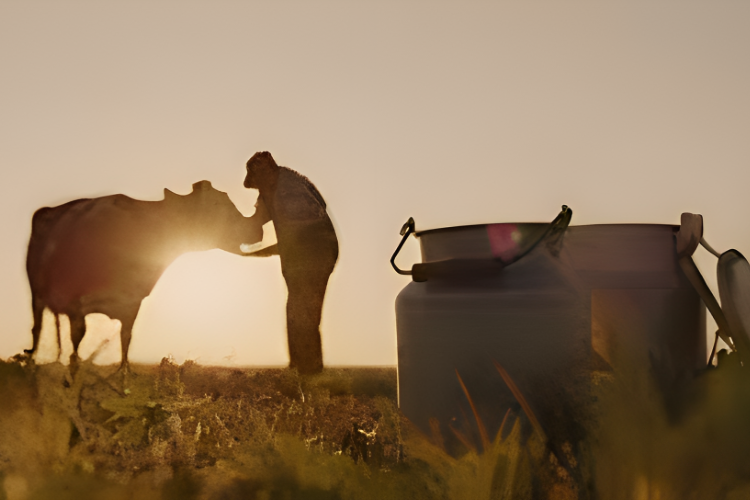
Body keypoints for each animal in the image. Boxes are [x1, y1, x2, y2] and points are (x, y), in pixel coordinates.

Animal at [25, 182, 268, 374]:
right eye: (220, 206)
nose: (258, 229)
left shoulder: (132, 303)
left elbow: (126, 341)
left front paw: (123, 375)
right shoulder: (77, 303)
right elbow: (77, 343)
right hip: (37, 294)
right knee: (37, 328)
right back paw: (32, 361)